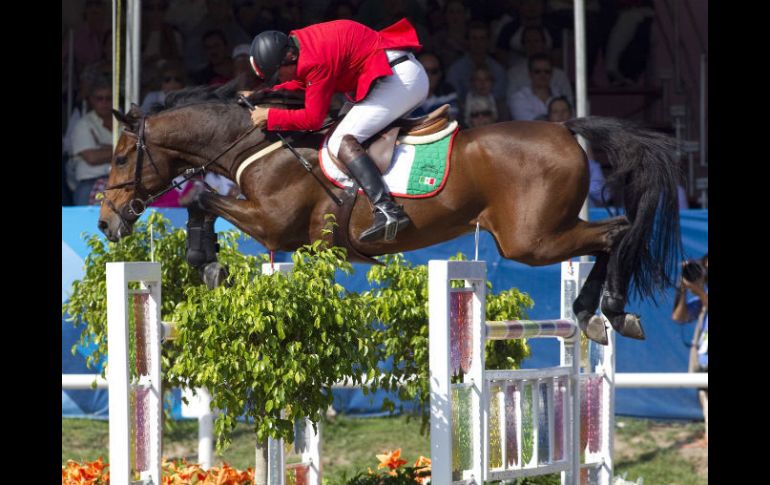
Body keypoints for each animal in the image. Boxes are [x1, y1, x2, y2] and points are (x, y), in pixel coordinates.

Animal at [96, 82, 680, 344]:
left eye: (122, 157)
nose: (106, 222)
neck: (256, 144)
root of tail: (567, 128)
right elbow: (202, 201)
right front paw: (209, 260)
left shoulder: (274, 223)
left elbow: (198, 199)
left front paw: (206, 261)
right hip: (540, 236)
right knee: (611, 234)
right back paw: (593, 314)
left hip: (532, 240)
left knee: (616, 232)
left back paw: (608, 310)